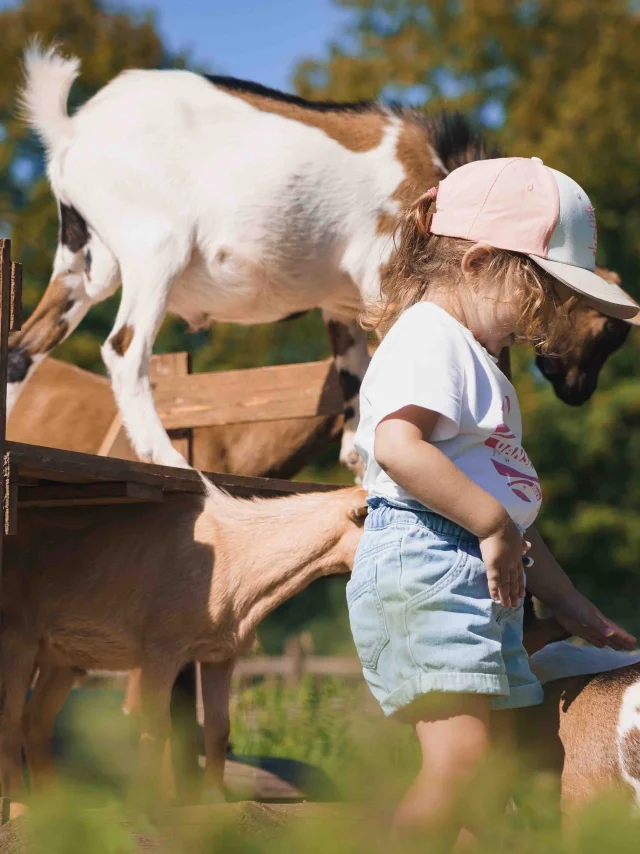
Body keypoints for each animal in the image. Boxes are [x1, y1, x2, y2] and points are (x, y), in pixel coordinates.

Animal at [0, 484, 368, 804]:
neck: (236, 552)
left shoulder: (221, 654)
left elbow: (219, 729)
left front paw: (213, 800)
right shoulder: (160, 652)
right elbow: (155, 726)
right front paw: (141, 802)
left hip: (62, 658)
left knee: (35, 722)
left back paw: (51, 807)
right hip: (18, 641)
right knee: (10, 720)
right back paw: (21, 806)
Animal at [8, 46, 636, 478]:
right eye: (609, 330)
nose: (578, 392)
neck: (442, 175)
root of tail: (73, 129)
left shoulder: (343, 302)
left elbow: (358, 385)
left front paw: (364, 464)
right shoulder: (388, 272)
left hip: (84, 263)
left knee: (21, 349)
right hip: (155, 248)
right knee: (123, 350)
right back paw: (168, 458)